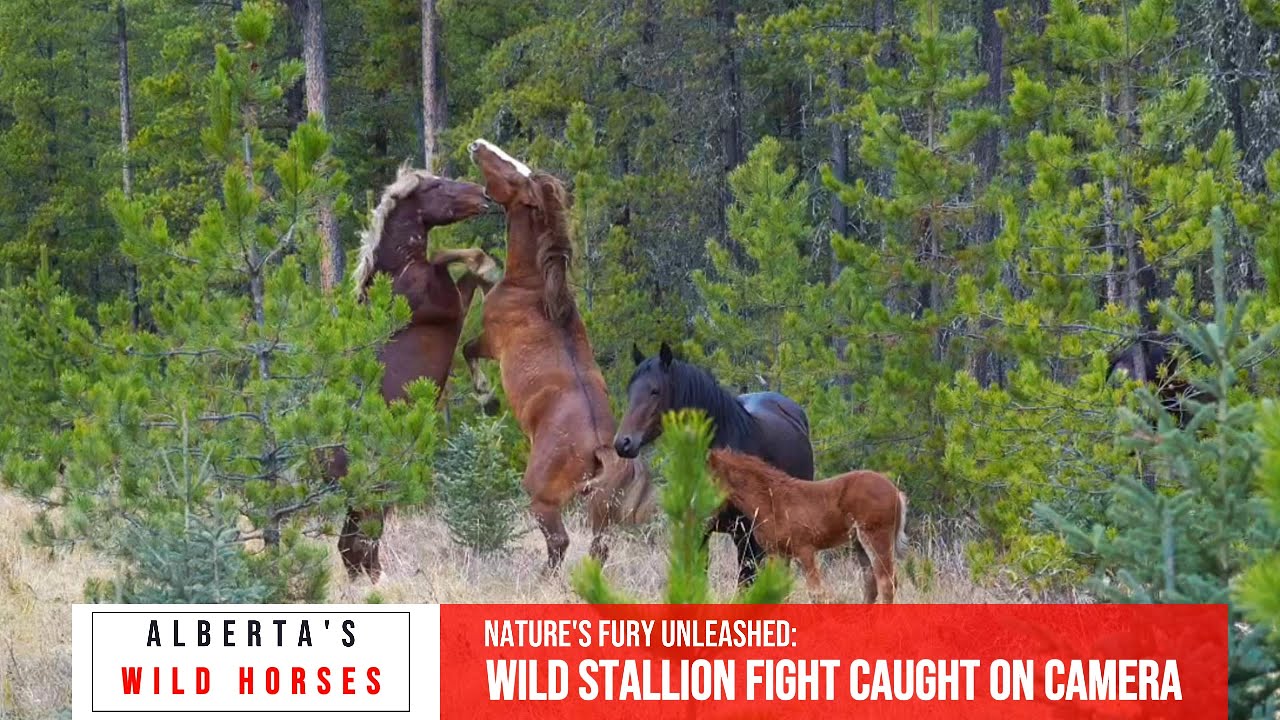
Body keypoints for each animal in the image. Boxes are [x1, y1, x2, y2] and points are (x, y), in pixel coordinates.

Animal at [334, 164, 501, 582]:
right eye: (437, 185)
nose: (485, 195)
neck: (399, 274)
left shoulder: (454, 302)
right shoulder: (446, 302)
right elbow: (452, 255)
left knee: (351, 547)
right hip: (374, 491)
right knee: (361, 544)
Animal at [462, 138, 654, 572]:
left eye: (514, 173)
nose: (477, 145)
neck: (533, 289)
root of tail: (602, 450)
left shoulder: (490, 340)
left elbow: (466, 350)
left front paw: (486, 396)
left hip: (543, 499)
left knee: (559, 542)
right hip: (602, 509)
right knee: (599, 548)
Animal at [706, 449, 908, 604]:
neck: (773, 501)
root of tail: (897, 493)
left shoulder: (805, 550)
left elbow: (816, 594)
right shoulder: (778, 554)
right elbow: (780, 592)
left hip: (876, 537)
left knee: (886, 582)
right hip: (859, 542)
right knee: (871, 582)